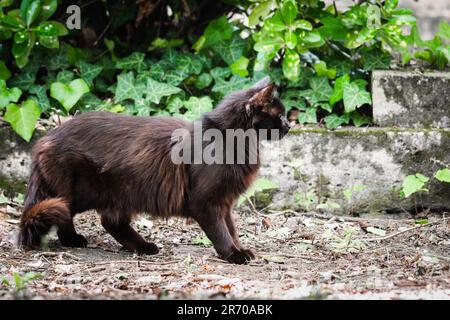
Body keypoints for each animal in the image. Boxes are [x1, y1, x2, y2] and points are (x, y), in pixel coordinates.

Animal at [17, 76, 290, 264]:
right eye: (280, 116)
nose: (289, 125)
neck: (230, 139)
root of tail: (47, 137)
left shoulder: (225, 202)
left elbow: (231, 229)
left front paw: (239, 248)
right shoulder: (207, 202)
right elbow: (221, 231)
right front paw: (233, 254)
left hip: (120, 192)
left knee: (110, 222)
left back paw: (143, 247)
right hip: (81, 191)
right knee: (65, 214)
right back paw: (74, 240)